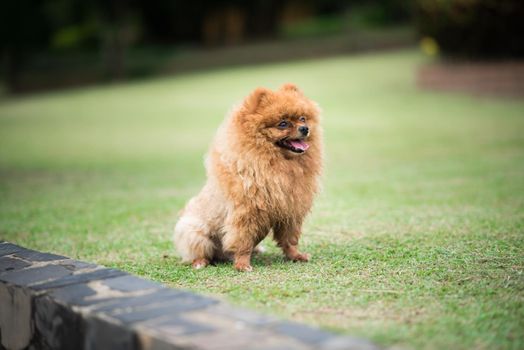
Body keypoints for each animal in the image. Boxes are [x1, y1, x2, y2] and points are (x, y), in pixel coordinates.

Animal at [174, 83, 322, 272]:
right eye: (283, 124)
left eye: (303, 119)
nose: (305, 129)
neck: (278, 164)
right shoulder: (246, 213)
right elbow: (242, 242)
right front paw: (242, 264)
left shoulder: (290, 211)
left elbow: (289, 240)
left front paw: (295, 256)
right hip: (194, 231)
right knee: (199, 251)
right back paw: (200, 262)